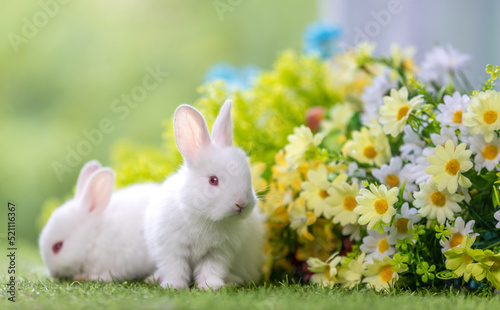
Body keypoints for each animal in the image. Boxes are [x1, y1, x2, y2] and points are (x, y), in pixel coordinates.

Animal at [146, 100, 266, 290]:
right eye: (213, 180)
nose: (241, 204)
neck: (204, 217)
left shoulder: (218, 252)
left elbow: (211, 270)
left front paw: (211, 287)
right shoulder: (173, 248)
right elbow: (175, 269)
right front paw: (174, 286)